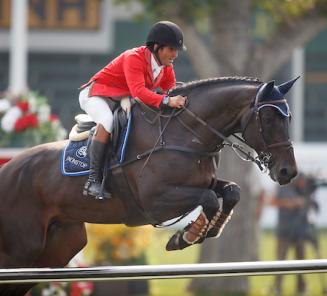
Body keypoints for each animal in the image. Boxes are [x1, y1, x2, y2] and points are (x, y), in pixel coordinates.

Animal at [0, 75, 300, 294]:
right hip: (22, 249)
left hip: (58, 246)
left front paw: (209, 229)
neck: (185, 133)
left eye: (289, 118)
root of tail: (8, 169)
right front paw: (186, 237)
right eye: (269, 118)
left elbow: (231, 191)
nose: (288, 172)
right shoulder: (155, 202)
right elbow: (208, 199)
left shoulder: (203, 182)